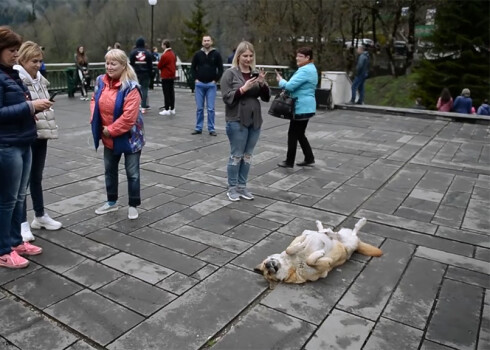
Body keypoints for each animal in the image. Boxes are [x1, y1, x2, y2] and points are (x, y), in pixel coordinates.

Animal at [255, 217, 384, 288]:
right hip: (349, 245)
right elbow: (310, 260)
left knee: (341, 232)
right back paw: (331, 232)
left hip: (344, 239)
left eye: (266, 265)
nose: (268, 265)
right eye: (268, 273)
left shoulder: (294, 243)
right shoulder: (323, 269)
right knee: (348, 233)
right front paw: (318, 253)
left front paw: (302, 243)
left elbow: (289, 248)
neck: (292, 265)